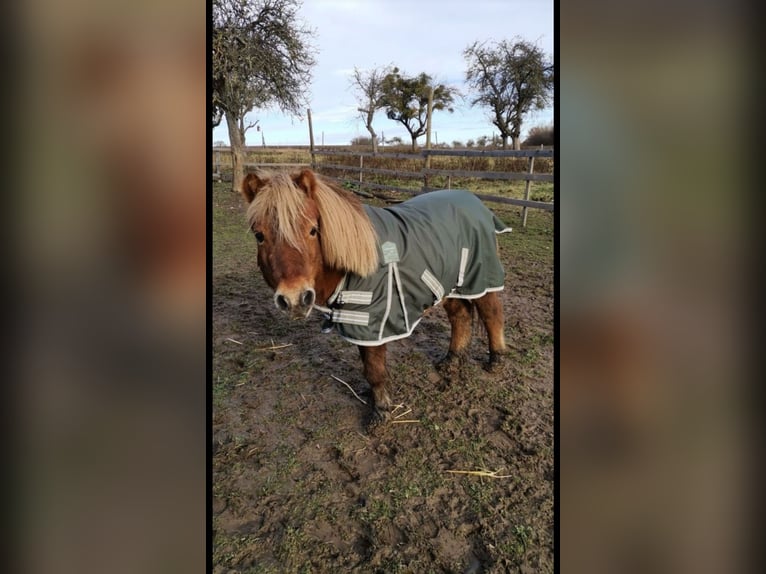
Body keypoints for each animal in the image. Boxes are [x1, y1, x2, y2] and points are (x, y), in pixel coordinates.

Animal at [240, 168, 511, 425]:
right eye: (259, 235)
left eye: (313, 230)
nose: (295, 299)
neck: (356, 261)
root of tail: (475, 202)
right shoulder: (359, 325)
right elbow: (368, 366)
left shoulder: (373, 322)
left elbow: (374, 369)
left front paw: (381, 412)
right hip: (449, 284)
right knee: (460, 316)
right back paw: (452, 360)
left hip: (480, 277)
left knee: (492, 315)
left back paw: (496, 361)